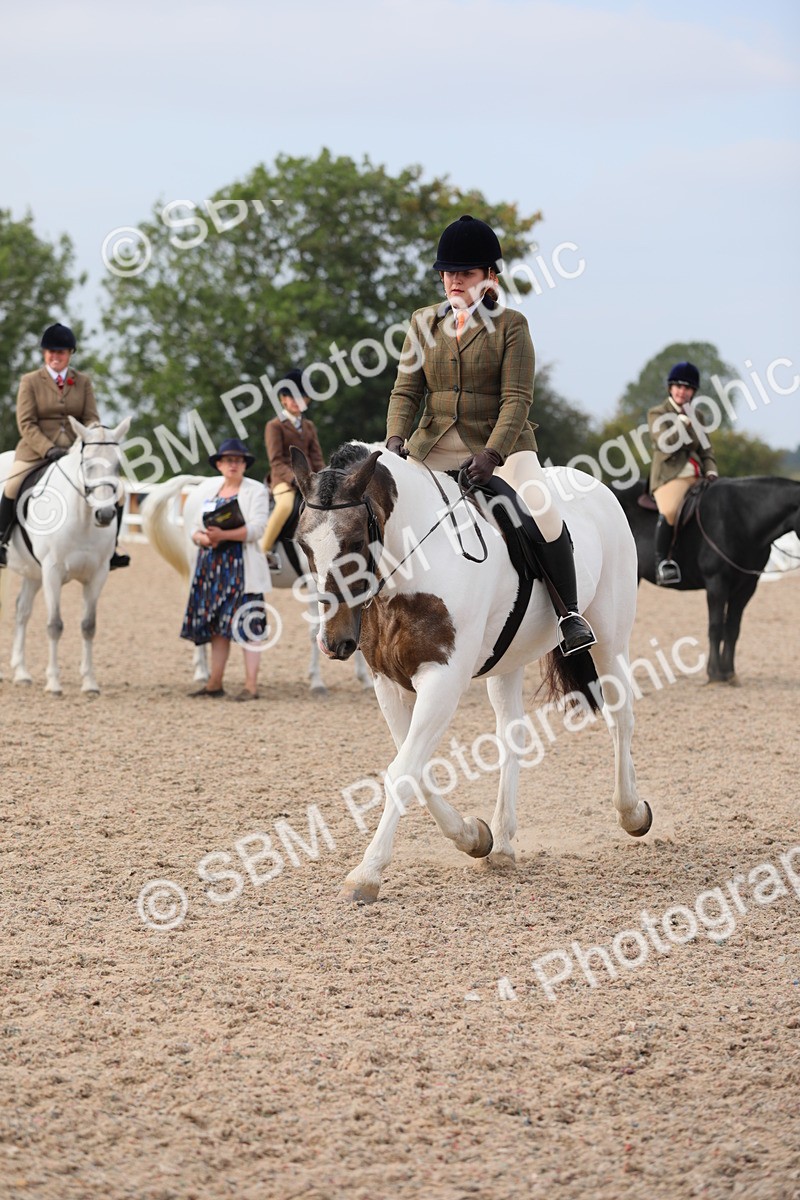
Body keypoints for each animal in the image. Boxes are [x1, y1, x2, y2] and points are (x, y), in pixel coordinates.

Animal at [0, 416, 132, 694]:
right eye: (88, 464)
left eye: (117, 464)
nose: (105, 515)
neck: (82, 518)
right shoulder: (52, 572)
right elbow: (55, 625)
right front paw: (53, 683)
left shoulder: (98, 575)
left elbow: (89, 626)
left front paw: (90, 683)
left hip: (32, 573)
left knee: (22, 611)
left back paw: (21, 673)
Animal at [292, 442, 652, 904]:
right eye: (303, 545)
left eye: (356, 541)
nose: (333, 642)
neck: (417, 564)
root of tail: (596, 485)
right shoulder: (389, 684)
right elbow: (415, 767)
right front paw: (473, 836)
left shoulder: (442, 680)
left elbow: (403, 772)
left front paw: (366, 874)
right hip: (511, 658)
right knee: (512, 735)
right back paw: (502, 844)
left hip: (609, 636)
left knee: (620, 716)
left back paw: (632, 813)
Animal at [614, 477, 800, 683]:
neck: (742, 518)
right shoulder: (716, 582)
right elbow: (716, 627)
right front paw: (715, 673)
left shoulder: (746, 586)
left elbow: (733, 628)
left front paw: (729, 673)